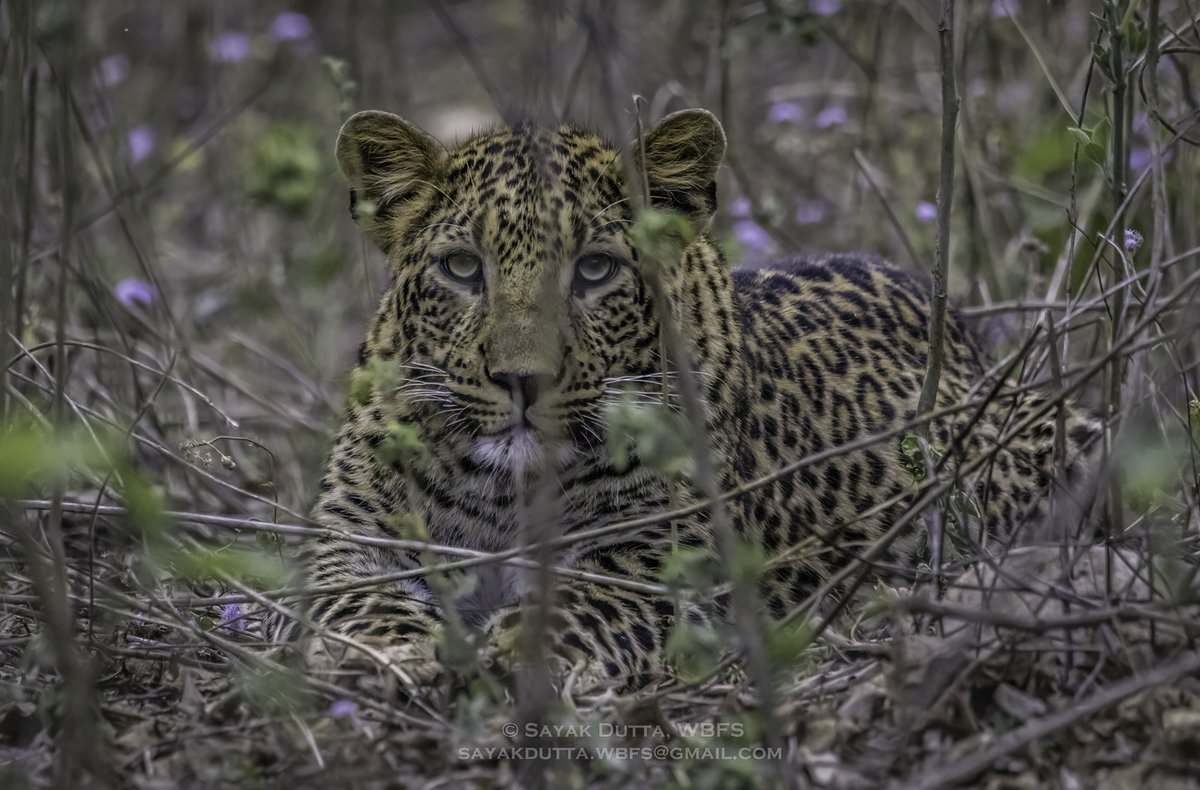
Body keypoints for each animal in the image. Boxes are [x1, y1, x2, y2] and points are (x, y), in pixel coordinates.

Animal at [288, 106, 1099, 691]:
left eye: (594, 271)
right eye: (461, 268)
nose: (523, 379)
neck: (503, 490)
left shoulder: (653, 563)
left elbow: (577, 602)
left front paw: (512, 653)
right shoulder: (352, 541)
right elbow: (356, 599)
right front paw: (390, 654)